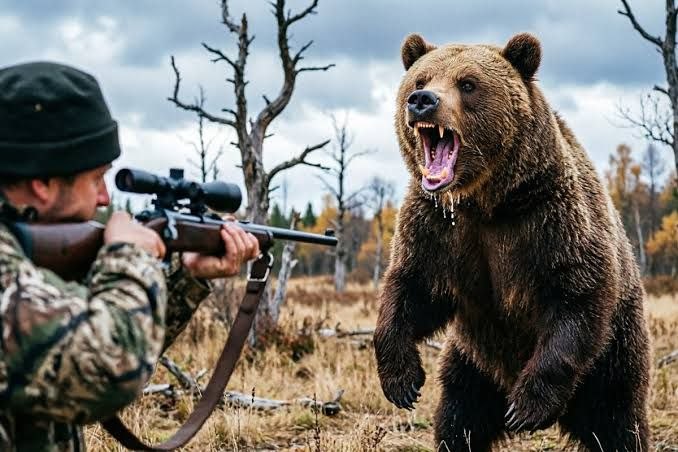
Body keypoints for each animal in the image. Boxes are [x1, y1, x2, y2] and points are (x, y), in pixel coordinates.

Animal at [373, 32, 651, 452]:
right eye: (420, 79)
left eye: (467, 83)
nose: (422, 100)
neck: (485, 201)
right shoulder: (437, 228)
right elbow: (413, 288)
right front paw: (401, 381)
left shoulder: (550, 219)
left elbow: (576, 293)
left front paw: (527, 407)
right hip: (472, 363)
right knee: (459, 417)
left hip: (614, 355)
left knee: (619, 421)